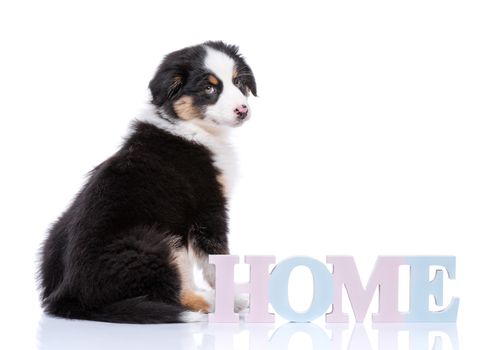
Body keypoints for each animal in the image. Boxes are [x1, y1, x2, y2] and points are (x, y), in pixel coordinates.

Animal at [39, 41, 258, 326]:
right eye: (209, 88)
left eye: (238, 82)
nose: (243, 110)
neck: (190, 127)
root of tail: (69, 296)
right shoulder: (208, 208)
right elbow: (216, 259)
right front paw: (231, 298)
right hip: (153, 240)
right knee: (168, 294)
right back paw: (208, 303)